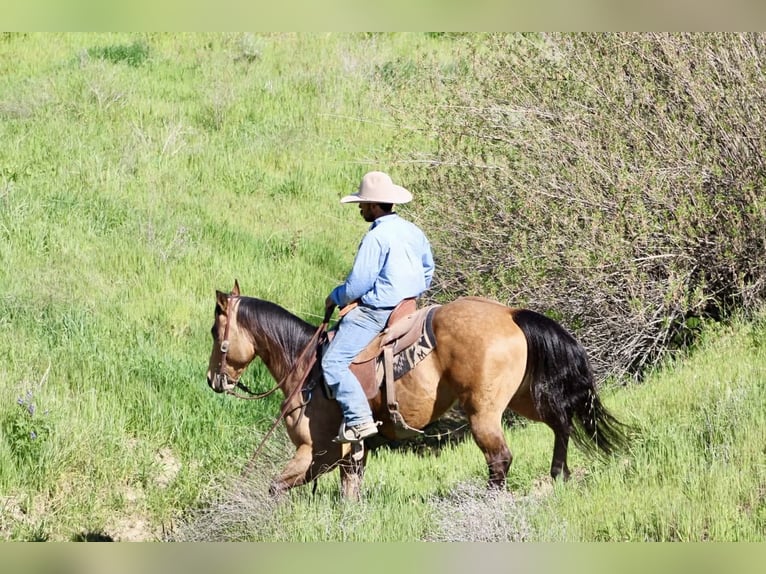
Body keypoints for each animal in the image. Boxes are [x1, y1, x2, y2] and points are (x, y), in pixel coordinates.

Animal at [206, 280, 631, 500]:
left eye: (214, 331)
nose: (213, 380)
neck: (306, 366)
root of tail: (511, 315)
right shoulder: (350, 452)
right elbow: (350, 490)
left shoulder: (317, 450)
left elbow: (277, 487)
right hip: (524, 398)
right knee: (561, 423)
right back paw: (559, 475)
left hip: (483, 413)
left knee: (500, 458)